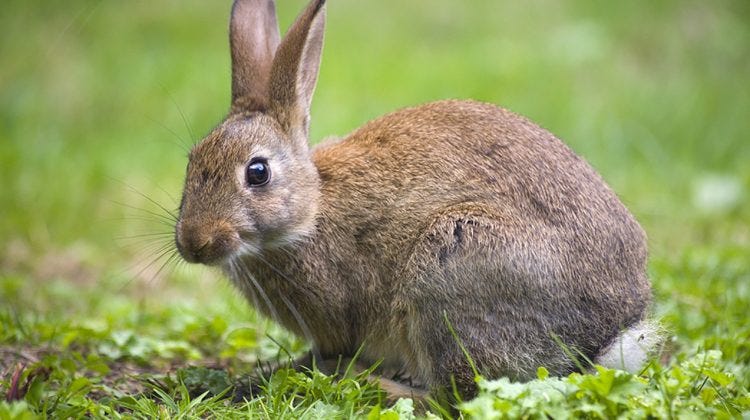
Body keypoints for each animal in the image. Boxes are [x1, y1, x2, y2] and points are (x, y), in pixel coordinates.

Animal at [175, 0, 664, 402]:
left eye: (257, 172)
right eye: (191, 162)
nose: (194, 243)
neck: (311, 209)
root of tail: (605, 336)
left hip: (453, 265)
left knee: (456, 394)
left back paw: (373, 383)